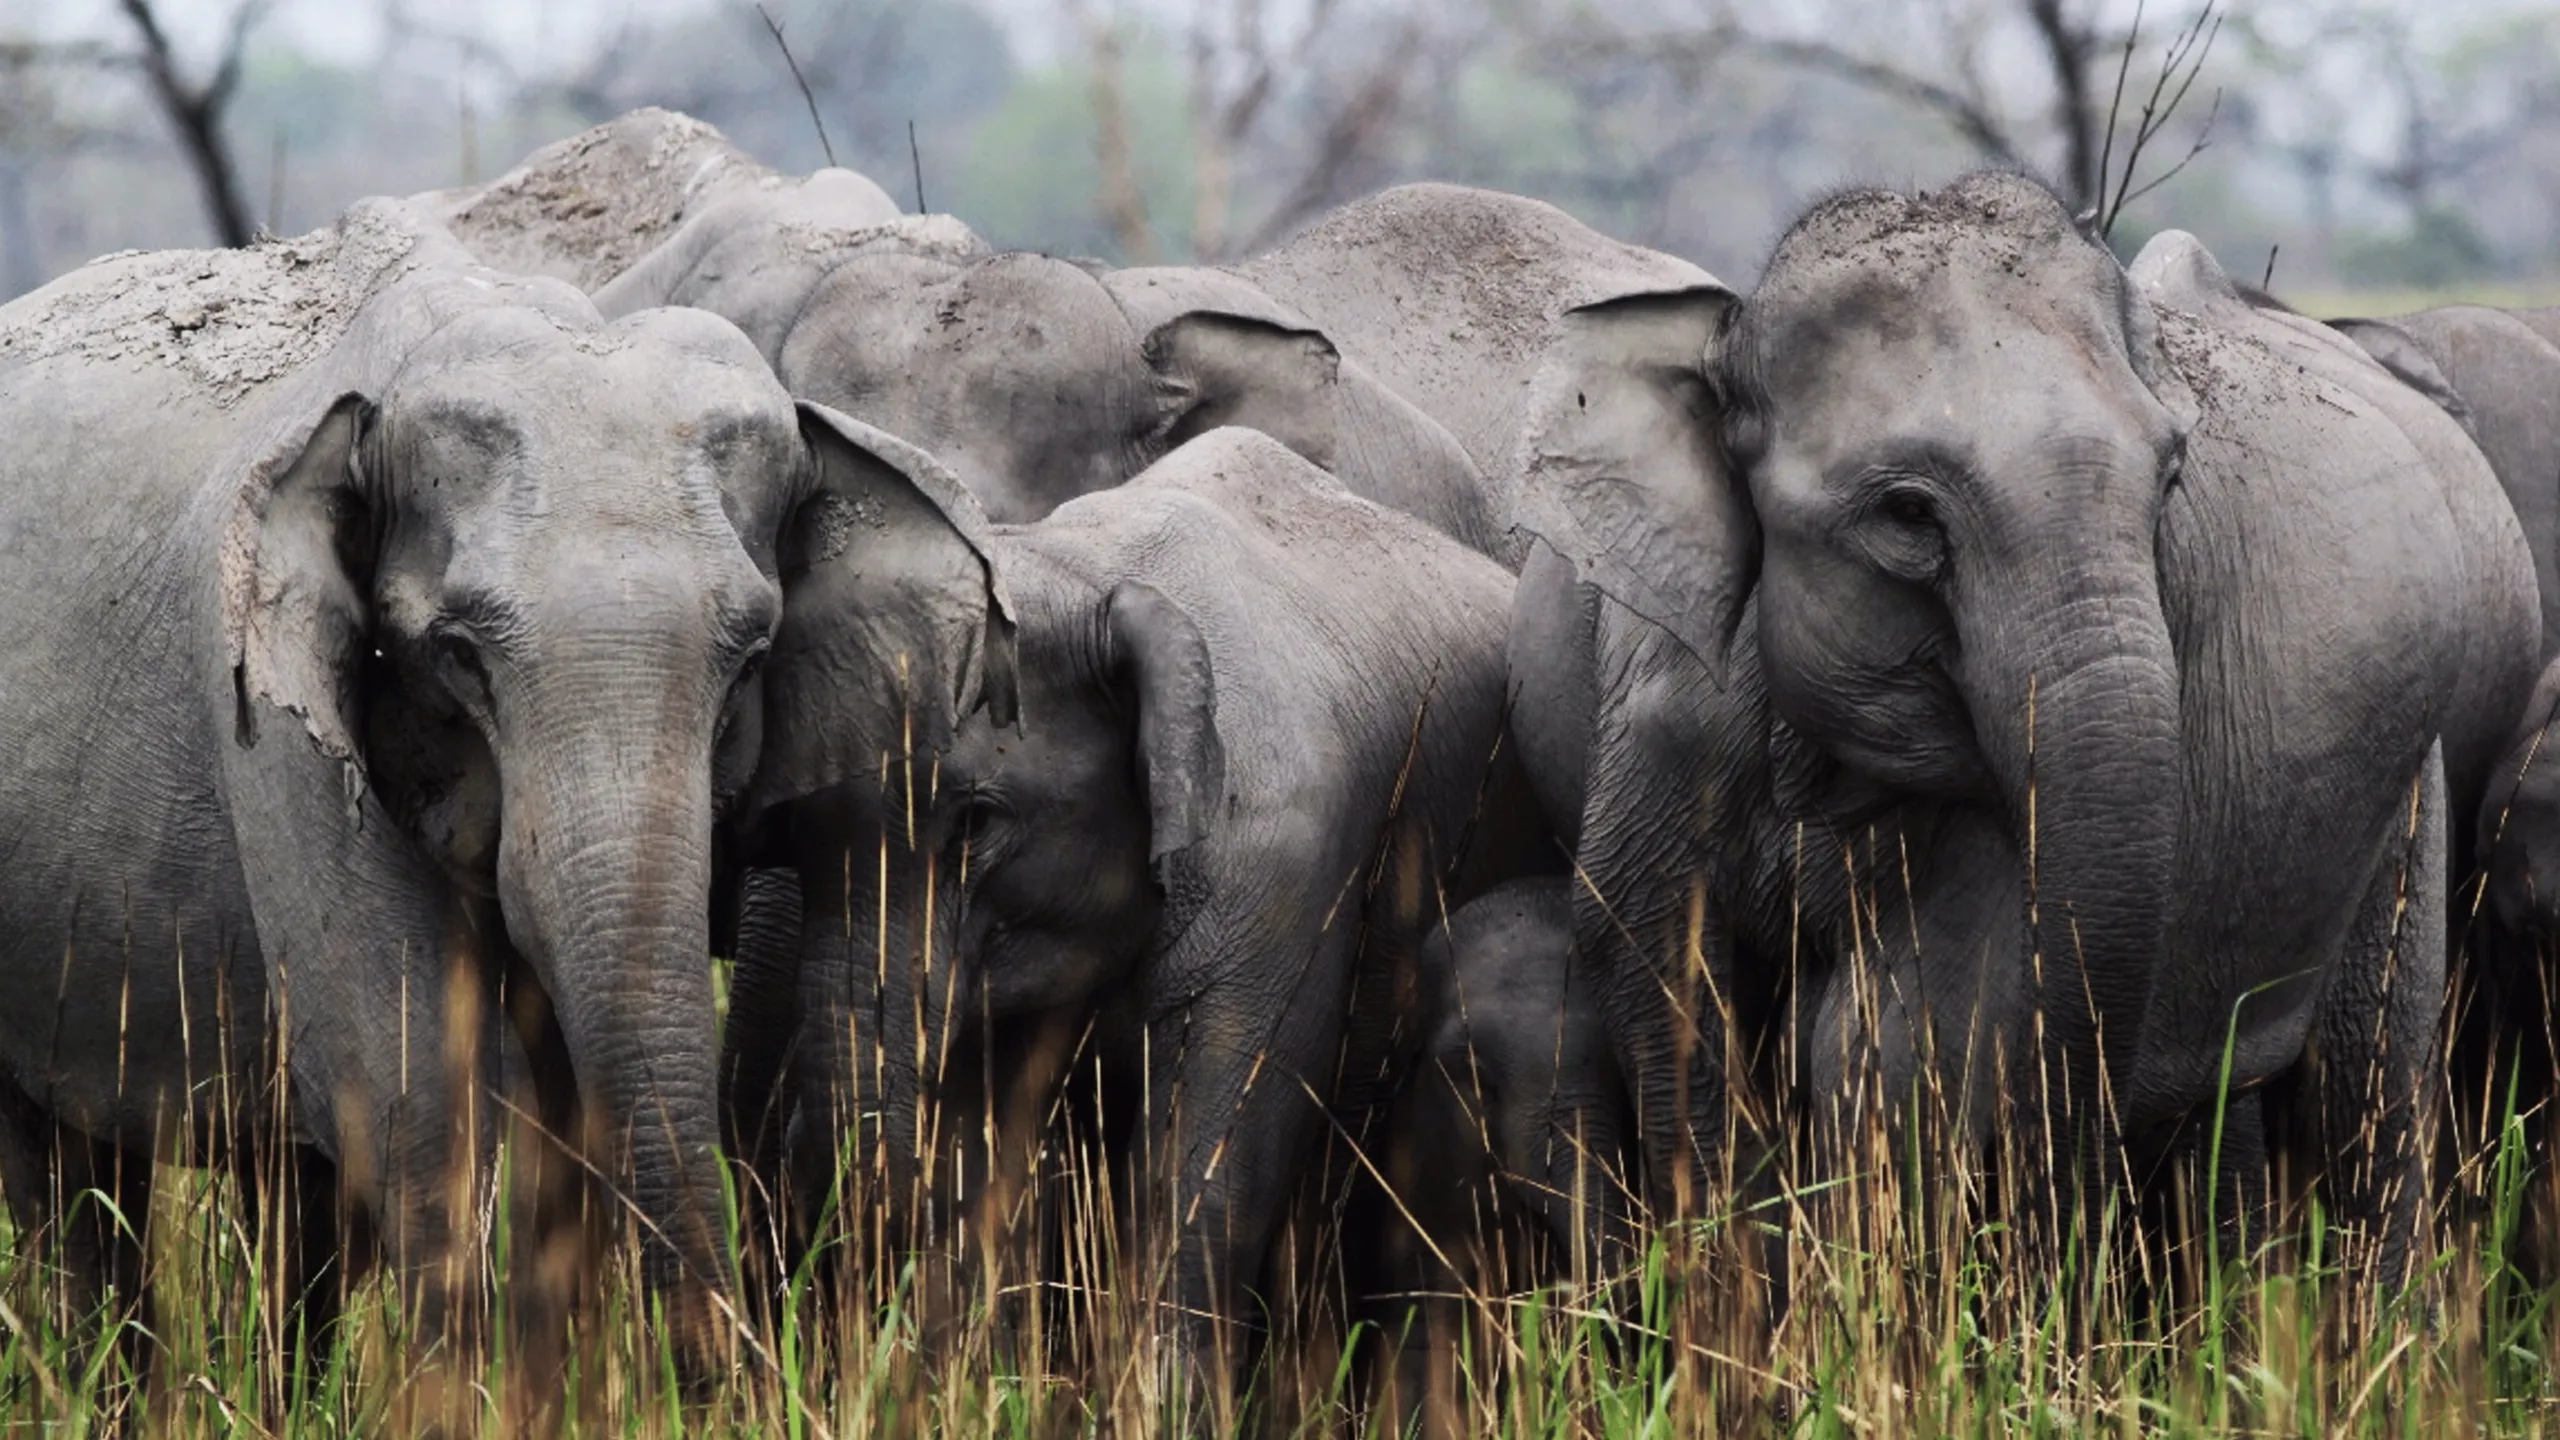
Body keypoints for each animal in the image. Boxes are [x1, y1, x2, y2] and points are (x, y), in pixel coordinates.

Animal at [0, 197, 1005, 1382]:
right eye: (461, 656)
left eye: (752, 657)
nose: (721, 1381)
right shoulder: (271, 725)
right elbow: (427, 1101)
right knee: (63, 1186)